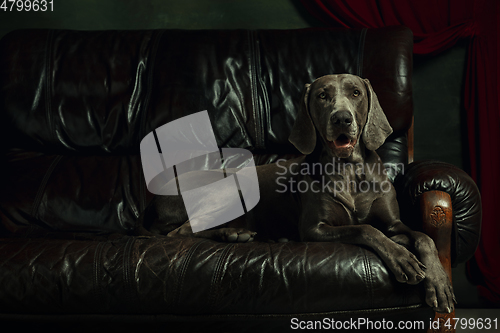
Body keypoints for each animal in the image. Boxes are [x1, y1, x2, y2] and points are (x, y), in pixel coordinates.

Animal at [139, 73, 456, 314]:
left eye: (355, 93)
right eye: (322, 96)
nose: (342, 119)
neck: (348, 170)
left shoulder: (393, 222)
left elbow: (424, 237)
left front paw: (439, 283)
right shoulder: (315, 228)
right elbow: (365, 229)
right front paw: (402, 258)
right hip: (227, 190)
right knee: (179, 232)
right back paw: (232, 234)